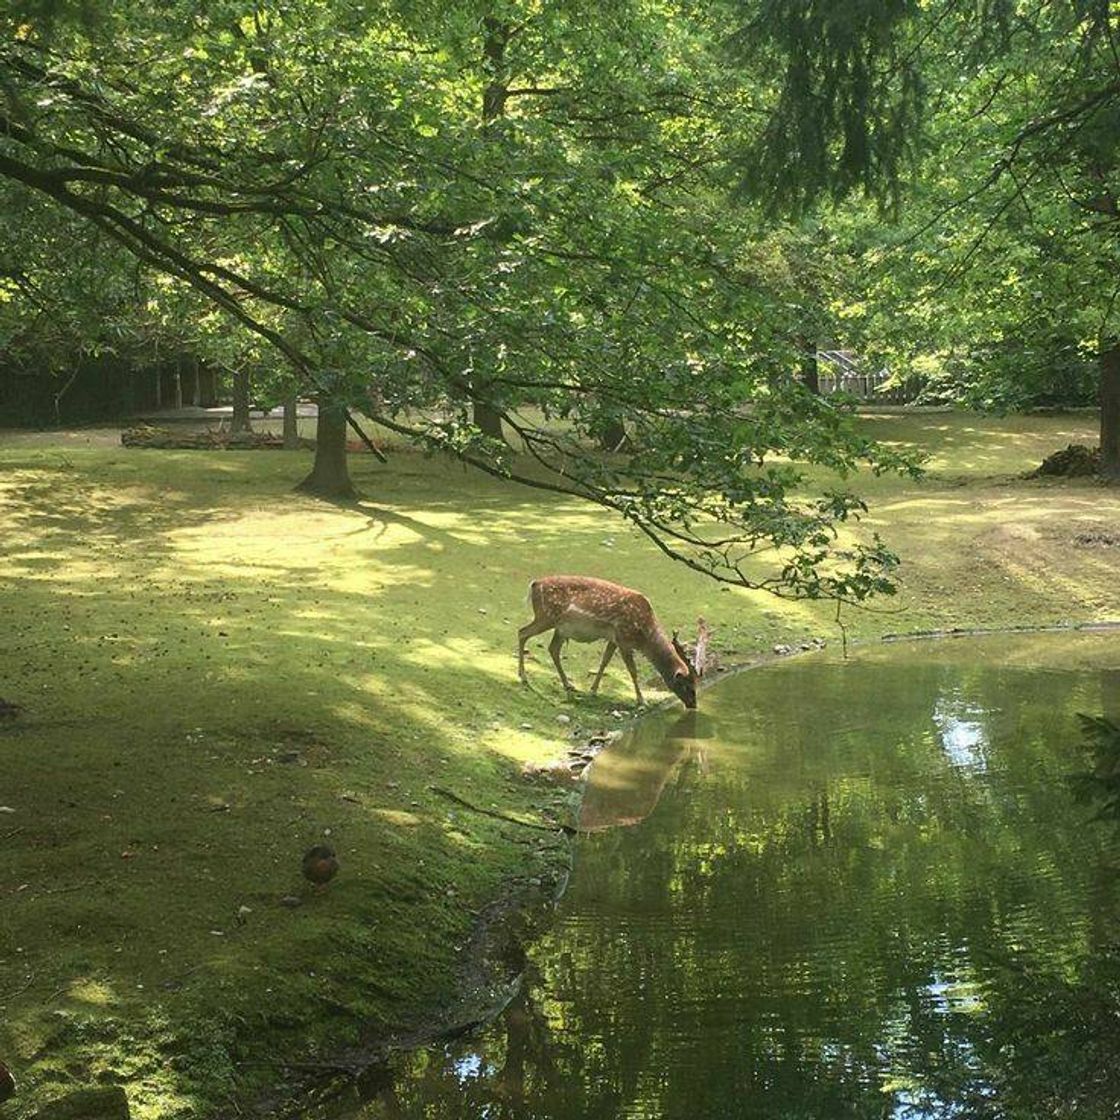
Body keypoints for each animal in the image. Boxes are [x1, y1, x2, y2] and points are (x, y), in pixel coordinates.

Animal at [515, 577, 698, 707]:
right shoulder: (624, 639)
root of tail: (534, 584)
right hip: (546, 616)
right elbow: (633, 671)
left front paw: (593, 690)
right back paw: (523, 677)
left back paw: (568, 685)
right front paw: (641, 700)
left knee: (553, 649)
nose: (693, 705)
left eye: (696, 684)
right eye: (687, 685)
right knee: (522, 632)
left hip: (559, 628)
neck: (644, 636)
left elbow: (604, 662)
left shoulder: (614, 639)